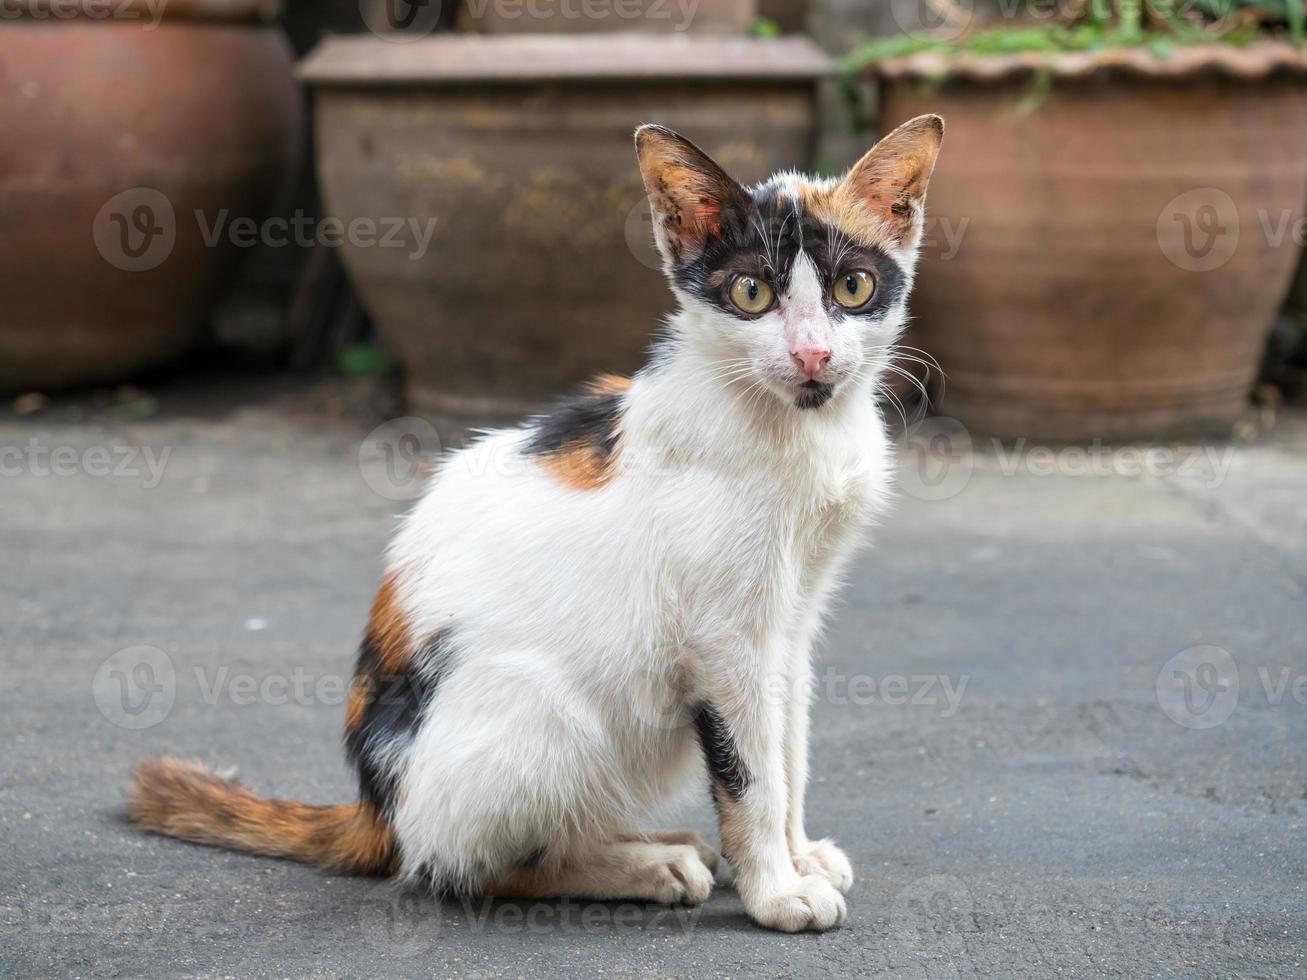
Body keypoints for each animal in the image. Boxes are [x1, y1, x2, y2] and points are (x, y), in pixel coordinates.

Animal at [130, 114, 941, 935]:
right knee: (458, 866)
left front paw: (799, 855)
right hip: (542, 711)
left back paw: (654, 844)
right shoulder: (724, 639)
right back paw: (644, 867)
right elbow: (750, 770)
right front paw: (775, 890)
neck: (795, 429)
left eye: (852, 287)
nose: (811, 355)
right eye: (751, 293)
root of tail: (378, 809)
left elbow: (789, 744)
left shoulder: (793, 617)